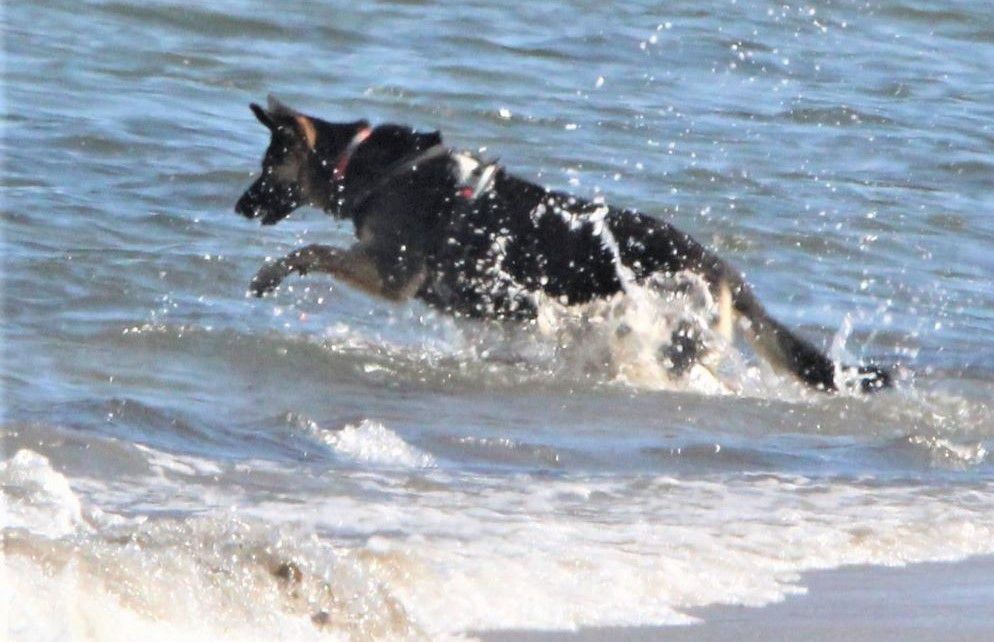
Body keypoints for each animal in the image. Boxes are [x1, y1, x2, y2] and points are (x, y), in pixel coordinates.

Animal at [234, 94, 892, 390]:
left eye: (267, 166)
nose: (238, 207)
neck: (364, 164)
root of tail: (725, 273)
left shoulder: (392, 274)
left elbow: (310, 253)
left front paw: (268, 274)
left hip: (669, 335)